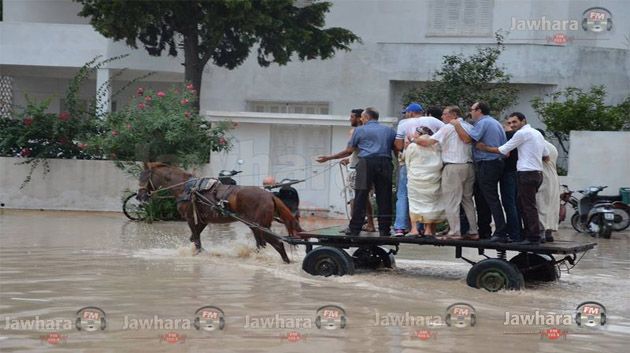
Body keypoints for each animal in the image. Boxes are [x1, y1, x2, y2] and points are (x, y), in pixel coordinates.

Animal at [137, 161, 304, 262]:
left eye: (143, 178)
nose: (139, 196)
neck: (185, 187)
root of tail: (270, 195)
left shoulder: (191, 219)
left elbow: (196, 240)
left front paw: (198, 253)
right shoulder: (203, 220)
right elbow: (194, 239)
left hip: (260, 226)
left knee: (278, 244)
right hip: (256, 227)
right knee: (262, 244)